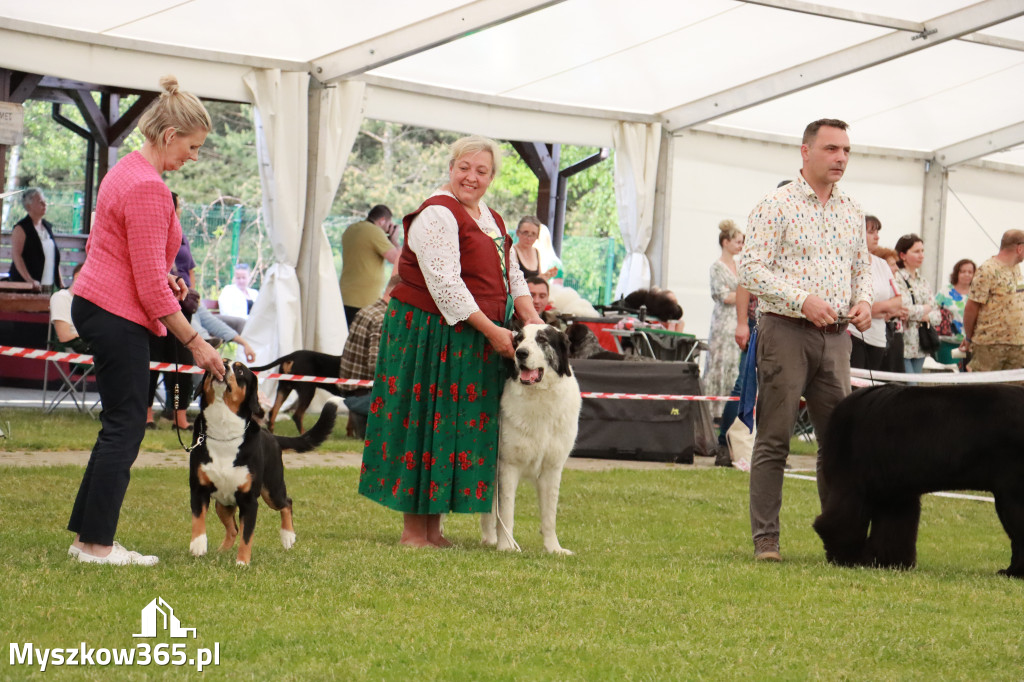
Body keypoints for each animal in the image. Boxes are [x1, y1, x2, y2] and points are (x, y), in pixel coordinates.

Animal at [188, 360, 339, 561]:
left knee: (287, 503)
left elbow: (247, 536)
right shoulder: (199, 489)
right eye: (222, 361)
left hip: (272, 490)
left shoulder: (250, 501)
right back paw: (221, 551)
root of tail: (272, 437)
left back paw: (288, 536)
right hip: (223, 503)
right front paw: (198, 545)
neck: (223, 431)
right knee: (233, 529)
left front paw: (242, 562)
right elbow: (198, 520)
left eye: (240, 370)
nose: (223, 366)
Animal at [481, 323, 581, 552]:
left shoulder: (552, 468)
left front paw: (554, 549)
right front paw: (506, 546)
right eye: (518, 340)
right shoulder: (508, 466)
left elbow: (549, 515)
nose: (521, 353)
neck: (539, 395)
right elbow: (506, 512)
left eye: (542, 339)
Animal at [815, 378, 1024, 577]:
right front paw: (889, 563)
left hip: (1011, 494)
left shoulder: (852, 485)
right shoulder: (894, 494)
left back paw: (1013, 572)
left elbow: (842, 521)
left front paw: (848, 558)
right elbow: (893, 530)